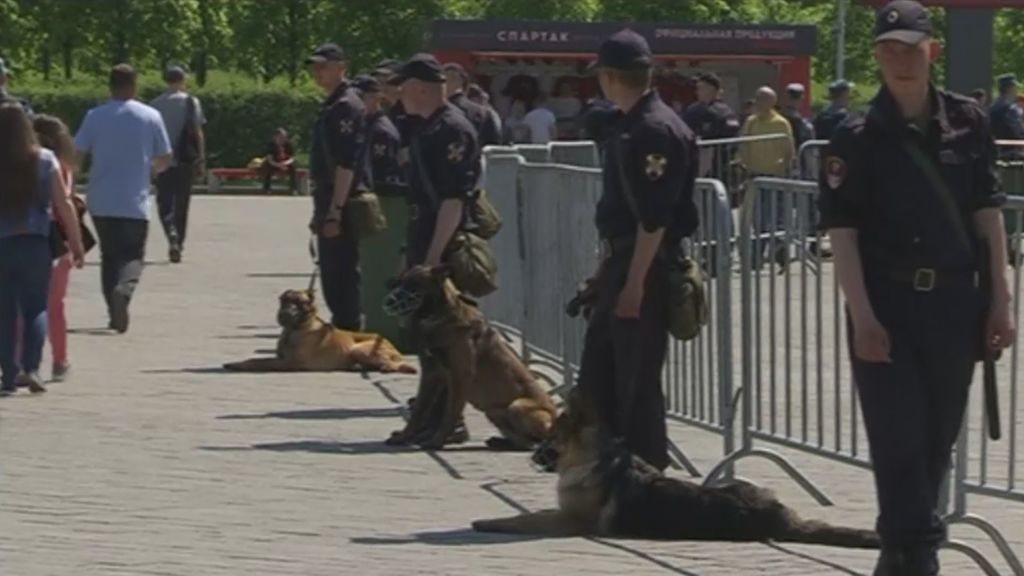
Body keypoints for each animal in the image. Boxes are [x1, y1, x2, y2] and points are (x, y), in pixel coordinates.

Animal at [224, 286, 415, 373]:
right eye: (285, 301)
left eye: (300, 303)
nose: (287, 312)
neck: (294, 329)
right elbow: (256, 359)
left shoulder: (288, 362)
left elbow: (259, 362)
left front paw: (240, 365)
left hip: (359, 349)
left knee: (394, 365)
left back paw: (387, 367)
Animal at [385, 264, 561, 448]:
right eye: (401, 282)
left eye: (414, 285)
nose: (388, 301)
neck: (440, 315)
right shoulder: (431, 376)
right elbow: (418, 412)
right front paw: (403, 437)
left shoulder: (459, 378)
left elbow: (449, 414)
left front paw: (436, 441)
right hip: (493, 412)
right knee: (523, 442)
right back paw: (500, 442)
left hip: (517, 406)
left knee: (533, 443)